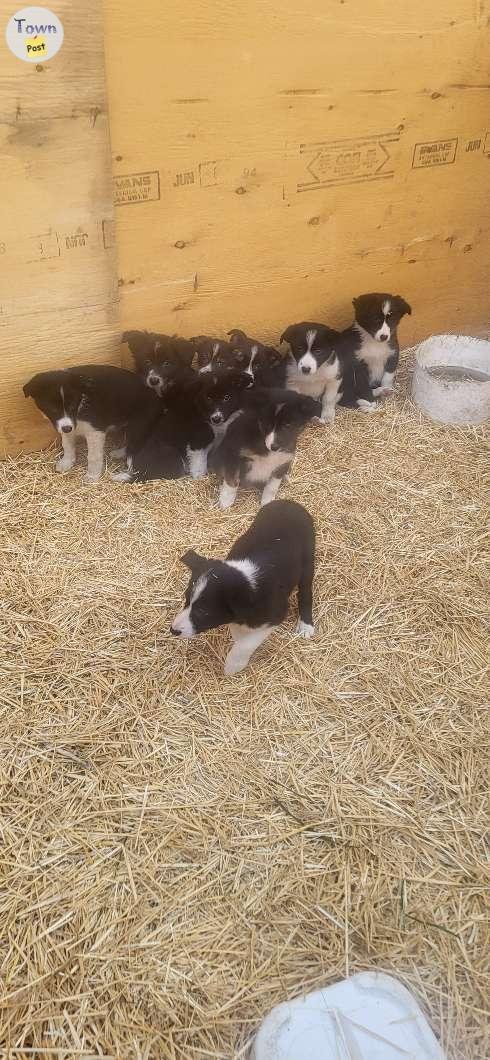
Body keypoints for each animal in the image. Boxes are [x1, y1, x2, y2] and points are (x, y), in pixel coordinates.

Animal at [22, 364, 156, 481]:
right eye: (52, 409)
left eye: (72, 406)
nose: (67, 429)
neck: (80, 406)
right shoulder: (69, 425)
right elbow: (67, 444)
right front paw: (66, 462)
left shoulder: (95, 431)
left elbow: (93, 456)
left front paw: (92, 476)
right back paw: (119, 453)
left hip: (138, 427)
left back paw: (124, 476)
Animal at [115, 364, 252, 481]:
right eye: (208, 398)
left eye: (227, 397)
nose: (216, 418)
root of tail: (140, 473)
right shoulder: (198, 442)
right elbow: (199, 465)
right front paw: (199, 478)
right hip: (171, 453)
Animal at [170, 498, 316, 678]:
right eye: (186, 599)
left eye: (203, 612)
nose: (173, 630)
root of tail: (289, 502)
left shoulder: (277, 613)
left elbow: (247, 643)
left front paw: (233, 665)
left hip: (308, 561)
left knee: (306, 591)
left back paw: (305, 626)